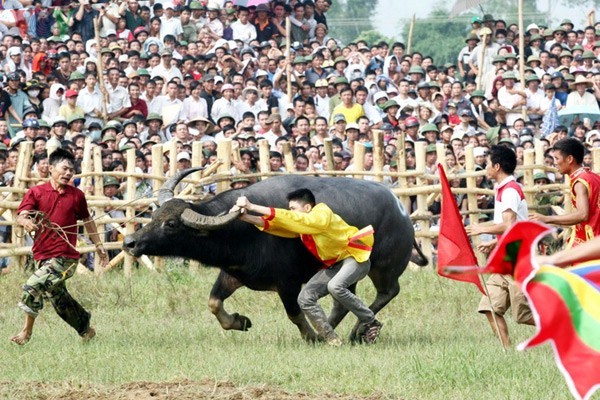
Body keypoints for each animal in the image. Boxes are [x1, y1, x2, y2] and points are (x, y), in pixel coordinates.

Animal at [123, 167, 426, 342]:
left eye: (171, 224)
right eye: (154, 214)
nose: (130, 242)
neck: (239, 232)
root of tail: (402, 211)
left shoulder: (287, 282)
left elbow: (294, 314)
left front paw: (311, 337)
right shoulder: (234, 274)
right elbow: (213, 303)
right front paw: (240, 321)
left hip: (383, 267)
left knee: (387, 292)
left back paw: (357, 330)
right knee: (342, 300)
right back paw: (337, 327)